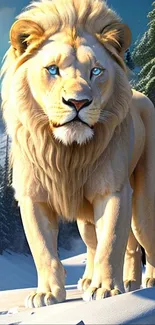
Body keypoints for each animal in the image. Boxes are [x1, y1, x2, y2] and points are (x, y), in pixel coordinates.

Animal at [1, 0, 155, 306]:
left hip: (144, 204)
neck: (66, 153)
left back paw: (147, 281)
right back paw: (121, 282)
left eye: (96, 71)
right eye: (52, 70)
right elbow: (43, 249)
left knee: (143, 237)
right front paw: (48, 294)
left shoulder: (112, 191)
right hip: (85, 221)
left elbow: (111, 241)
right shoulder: (32, 197)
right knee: (117, 246)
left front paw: (105, 290)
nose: (78, 102)